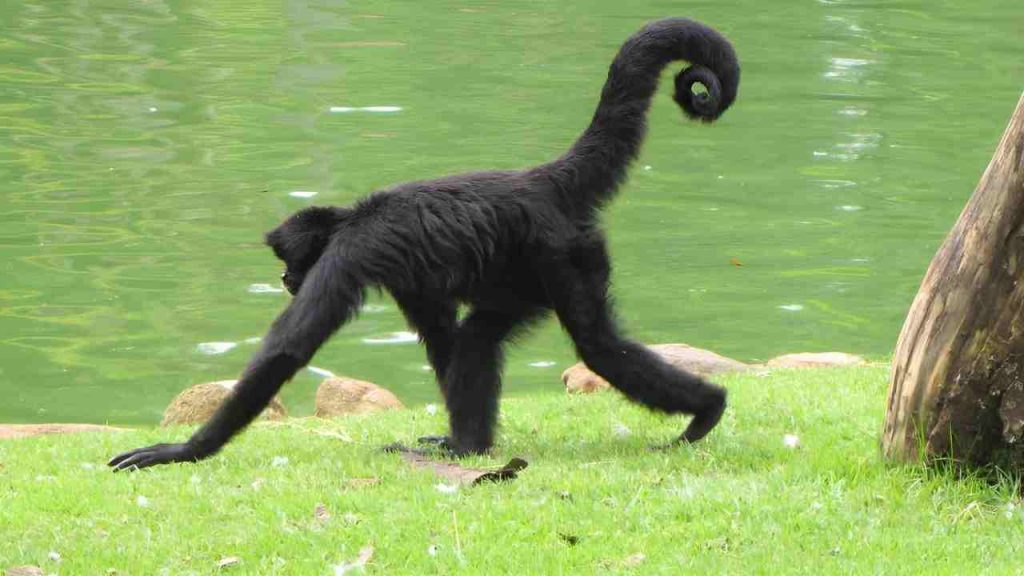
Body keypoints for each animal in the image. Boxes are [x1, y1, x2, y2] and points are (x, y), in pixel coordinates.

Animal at [108, 17, 740, 471]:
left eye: (287, 261)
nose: (285, 280)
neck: (351, 217)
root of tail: (541, 179)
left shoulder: (347, 256)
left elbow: (288, 349)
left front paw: (181, 452)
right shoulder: (408, 278)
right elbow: (443, 337)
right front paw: (461, 436)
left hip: (562, 253)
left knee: (598, 347)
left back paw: (708, 409)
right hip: (526, 274)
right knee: (480, 337)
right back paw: (469, 447)